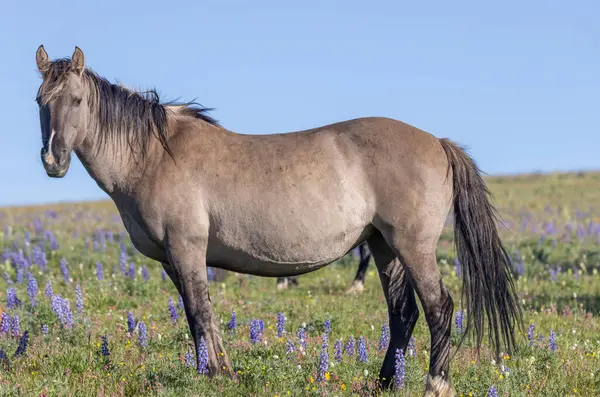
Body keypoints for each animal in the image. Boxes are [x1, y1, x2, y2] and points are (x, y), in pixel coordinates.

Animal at [34, 46, 520, 396]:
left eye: (77, 100)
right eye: (40, 102)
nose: (52, 161)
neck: (153, 155)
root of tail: (437, 142)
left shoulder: (186, 249)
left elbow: (199, 312)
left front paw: (214, 375)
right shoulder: (174, 259)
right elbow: (199, 314)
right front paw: (222, 371)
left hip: (412, 247)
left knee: (439, 308)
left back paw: (435, 383)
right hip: (384, 246)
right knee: (402, 314)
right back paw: (385, 382)